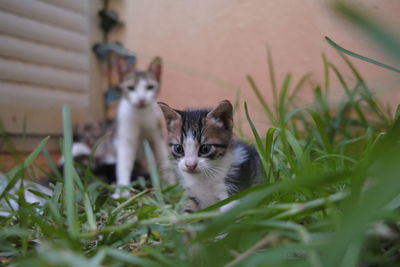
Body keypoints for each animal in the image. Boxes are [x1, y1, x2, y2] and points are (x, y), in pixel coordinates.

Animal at [113, 57, 174, 199]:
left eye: (150, 87)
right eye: (130, 88)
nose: (141, 99)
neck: (141, 116)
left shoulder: (157, 133)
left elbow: (163, 157)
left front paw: (171, 185)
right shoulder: (125, 135)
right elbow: (124, 163)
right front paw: (122, 192)